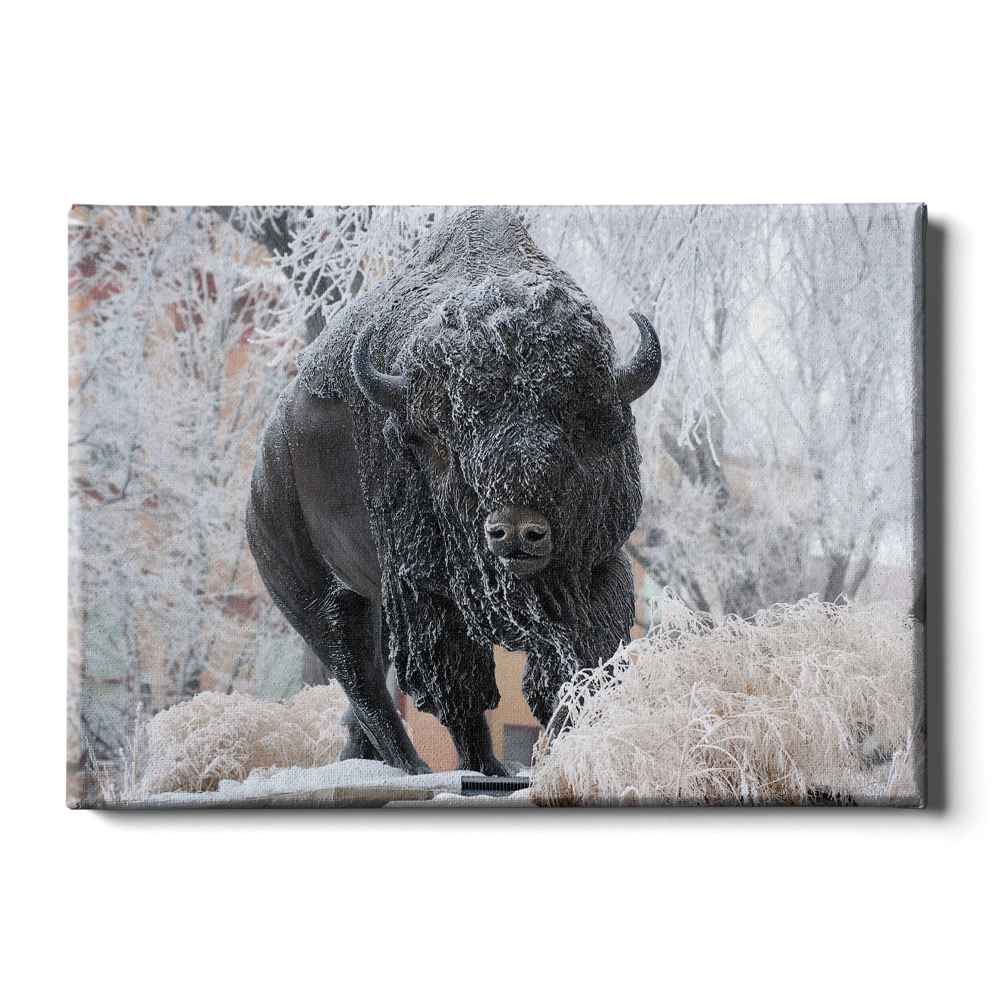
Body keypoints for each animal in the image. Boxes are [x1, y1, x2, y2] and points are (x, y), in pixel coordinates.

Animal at [246, 205, 661, 775]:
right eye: (443, 433)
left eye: (578, 421)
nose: (515, 531)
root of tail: (264, 465)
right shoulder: (426, 594)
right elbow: (460, 692)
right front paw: (488, 770)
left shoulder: (599, 564)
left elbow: (581, 664)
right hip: (316, 599)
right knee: (363, 682)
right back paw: (414, 768)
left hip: (372, 605)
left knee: (366, 688)